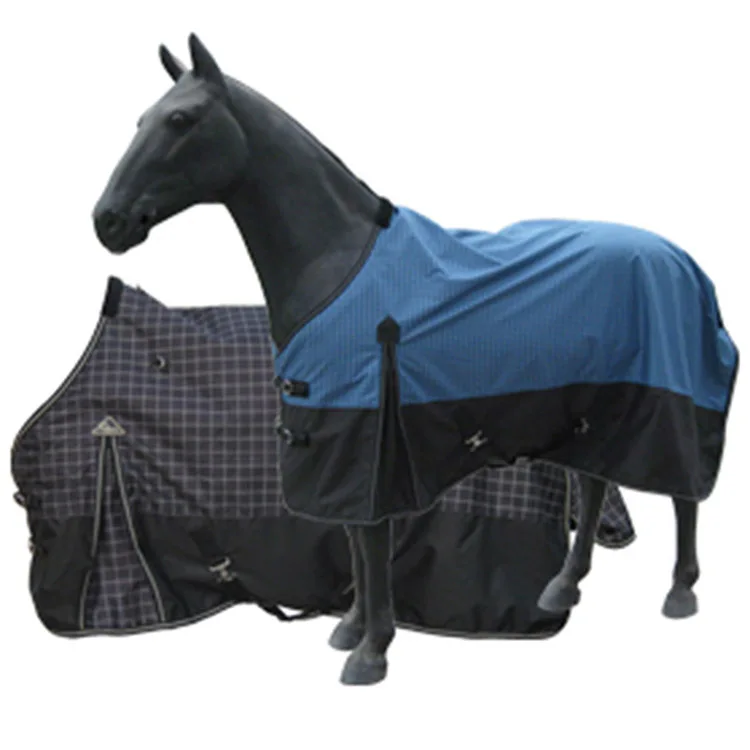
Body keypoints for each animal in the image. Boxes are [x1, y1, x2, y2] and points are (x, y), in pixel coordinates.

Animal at [92, 34, 738, 685]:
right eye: (141, 120)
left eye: (180, 120)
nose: (108, 221)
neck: (338, 262)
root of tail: (684, 262)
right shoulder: (331, 436)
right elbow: (355, 540)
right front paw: (350, 628)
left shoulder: (366, 434)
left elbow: (372, 544)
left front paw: (371, 649)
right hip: (594, 408)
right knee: (594, 479)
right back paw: (562, 587)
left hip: (667, 403)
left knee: (683, 491)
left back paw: (681, 591)